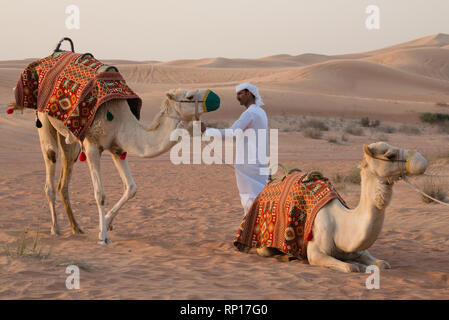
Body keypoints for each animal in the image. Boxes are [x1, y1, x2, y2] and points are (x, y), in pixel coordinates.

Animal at [35, 89, 214, 244]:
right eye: (190, 96)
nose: (214, 97)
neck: (120, 121)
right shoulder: (92, 146)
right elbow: (100, 194)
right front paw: (103, 236)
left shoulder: (117, 148)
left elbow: (131, 188)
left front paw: (107, 222)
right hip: (44, 118)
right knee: (50, 165)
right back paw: (55, 229)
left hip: (69, 139)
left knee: (64, 179)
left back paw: (76, 228)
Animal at [252, 142, 428, 272]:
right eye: (390, 155)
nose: (421, 160)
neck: (342, 224)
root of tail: (269, 182)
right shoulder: (315, 252)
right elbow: (351, 267)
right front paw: (358, 265)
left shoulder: (359, 250)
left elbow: (382, 263)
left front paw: (366, 264)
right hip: (264, 242)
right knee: (265, 251)